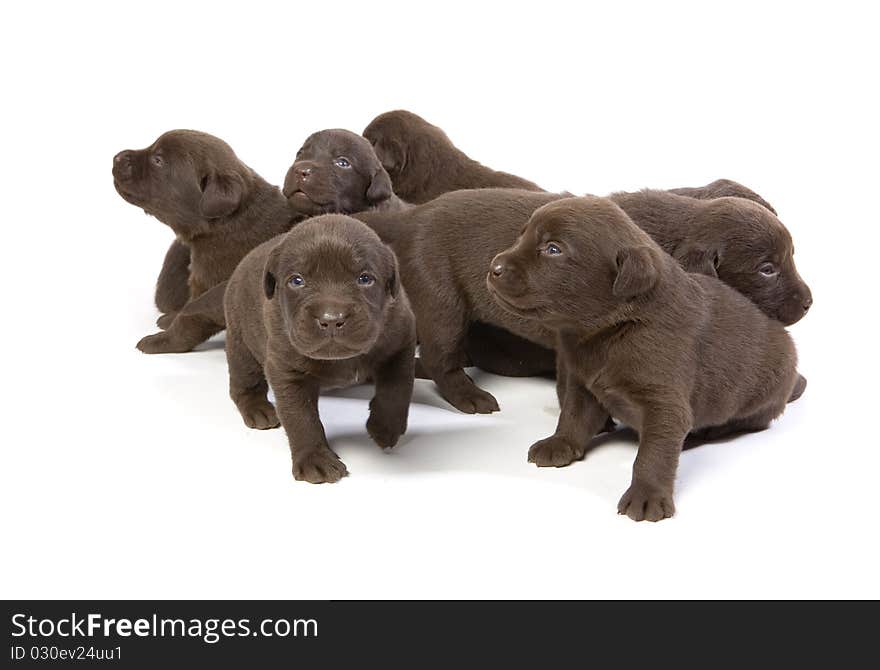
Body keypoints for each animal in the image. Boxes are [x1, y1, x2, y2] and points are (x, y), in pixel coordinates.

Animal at [113, 128, 296, 354]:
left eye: (158, 160)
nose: (117, 156)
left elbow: (193, 312)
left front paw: (160, 340)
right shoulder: (203, 278)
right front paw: (170, 318)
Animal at [223, 215, 416, 484]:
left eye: (365, 279)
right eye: (297, 281)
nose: (332, 319)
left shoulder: (401, 340)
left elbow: (397, 388)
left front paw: (385, 426)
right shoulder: (287, 370)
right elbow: (301, 417)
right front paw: (315, 459)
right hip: (242, 343)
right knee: (243, 383)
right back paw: (257, 409)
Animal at [488, 197, 804, 524]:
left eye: (553, 249)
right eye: (521, 236)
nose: (493, 267)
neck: (614, 331)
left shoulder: (664, 405)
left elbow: (653, 455)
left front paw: (647, 495)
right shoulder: (582, 383)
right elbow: (573, 417)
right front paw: (560, 443)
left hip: (764, 394)